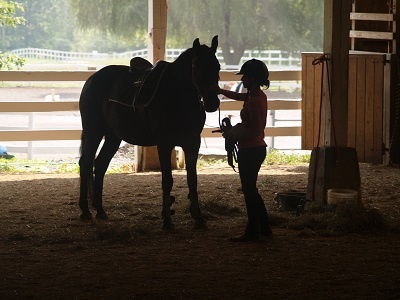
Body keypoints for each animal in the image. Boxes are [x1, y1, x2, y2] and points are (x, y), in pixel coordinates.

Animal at [77, 36, 222, 230]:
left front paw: (198, 218)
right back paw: (85, 211)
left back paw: (100, 210)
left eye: (217, 66)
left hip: (113, 137)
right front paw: (166, 220)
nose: (212, 102)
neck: (176, 96)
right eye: (197, 67)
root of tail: (92, 80)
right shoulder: (164, 144)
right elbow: (167, 180)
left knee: (100, 165)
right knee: (86, 164)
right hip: (93, 132)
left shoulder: (192, 144)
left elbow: (193, 181)